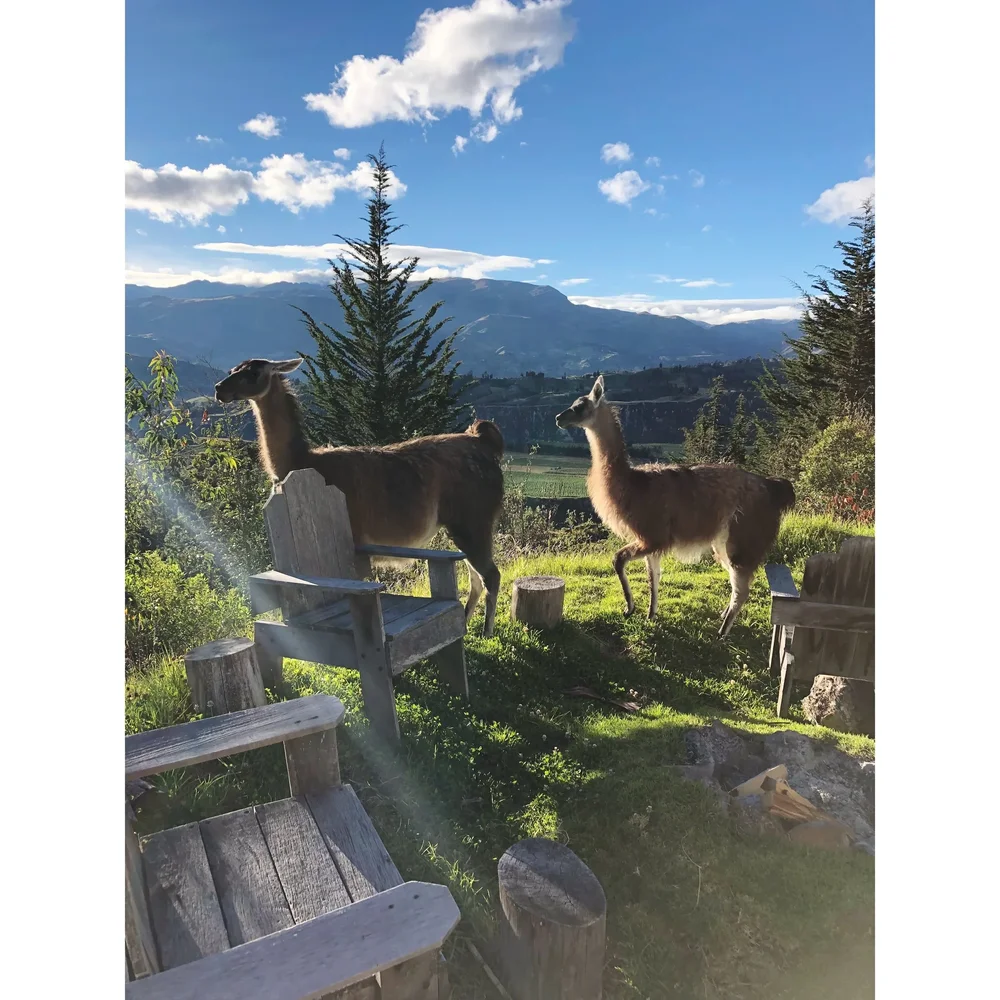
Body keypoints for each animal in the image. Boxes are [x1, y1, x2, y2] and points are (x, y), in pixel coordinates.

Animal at [215, 358, 504, 637]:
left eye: (253, 373)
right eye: (233, 370)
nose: (219, 389)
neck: (304, 462)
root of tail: (480, 440)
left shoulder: (355, 542)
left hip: (473, 517)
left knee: (490, 575)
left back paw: (486, 632)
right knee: (476, 577)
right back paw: (464, 623)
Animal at [555, 375, 795, 637]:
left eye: (580, 407)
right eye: (572, 403)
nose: (558, 418)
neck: (633, 485)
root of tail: (771, 486)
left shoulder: (653, 536)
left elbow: (618, 559)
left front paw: (629, 608)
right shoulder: (652, 542)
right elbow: (653, 577)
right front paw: (650, 615)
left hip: (743, 536)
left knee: (741, 588)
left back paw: (722, 632)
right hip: (724, 542)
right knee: (739, 582)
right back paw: (723, 617)